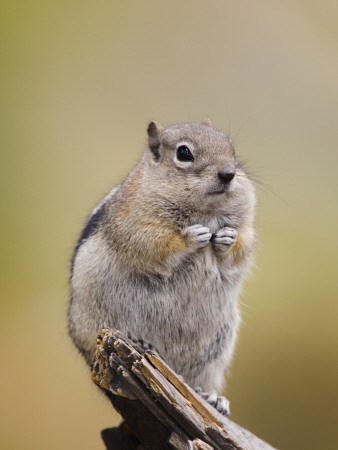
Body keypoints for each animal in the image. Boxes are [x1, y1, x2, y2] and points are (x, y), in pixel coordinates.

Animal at [68, 118, 256, 414]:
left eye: (231, 148)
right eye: (184, 153)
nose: (229, 174)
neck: (206, 210)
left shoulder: (246, 223)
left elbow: (242, 245)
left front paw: (228, 238)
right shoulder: (139, 225)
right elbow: (159, 246)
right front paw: (192, 237)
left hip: (216, 352)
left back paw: (212, 398)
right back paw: (140, 342)